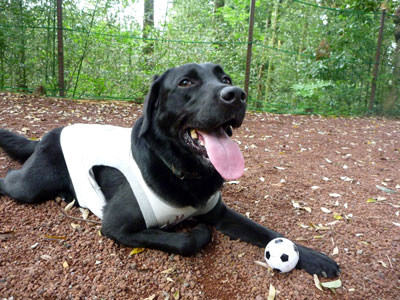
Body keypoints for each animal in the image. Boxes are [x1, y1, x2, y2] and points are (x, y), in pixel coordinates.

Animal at [0, 64, 340, 278]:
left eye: (225, 77)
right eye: (185, 82)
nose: (236, 94)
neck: (182, 171)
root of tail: (48, 134)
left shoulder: (219, 212)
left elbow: (268, 232)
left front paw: (314, 257)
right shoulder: (116, 227)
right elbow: (185, 240)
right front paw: (198, 232)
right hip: (29, 186)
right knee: (9, 181)